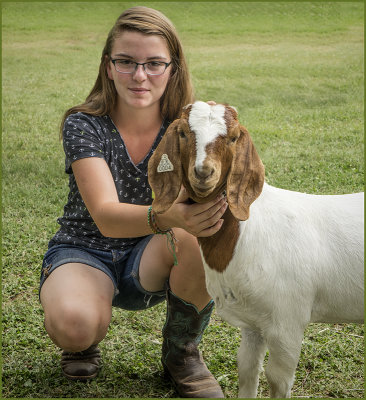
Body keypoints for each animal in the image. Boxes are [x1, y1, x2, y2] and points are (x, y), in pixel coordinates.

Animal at [147, 101, 364, 398]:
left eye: (233, 137)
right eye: (182, 133)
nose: (204, 172)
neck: (246, 233)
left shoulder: (287, 324)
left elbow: (277, 380)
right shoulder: (253, 325)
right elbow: (248, 370)